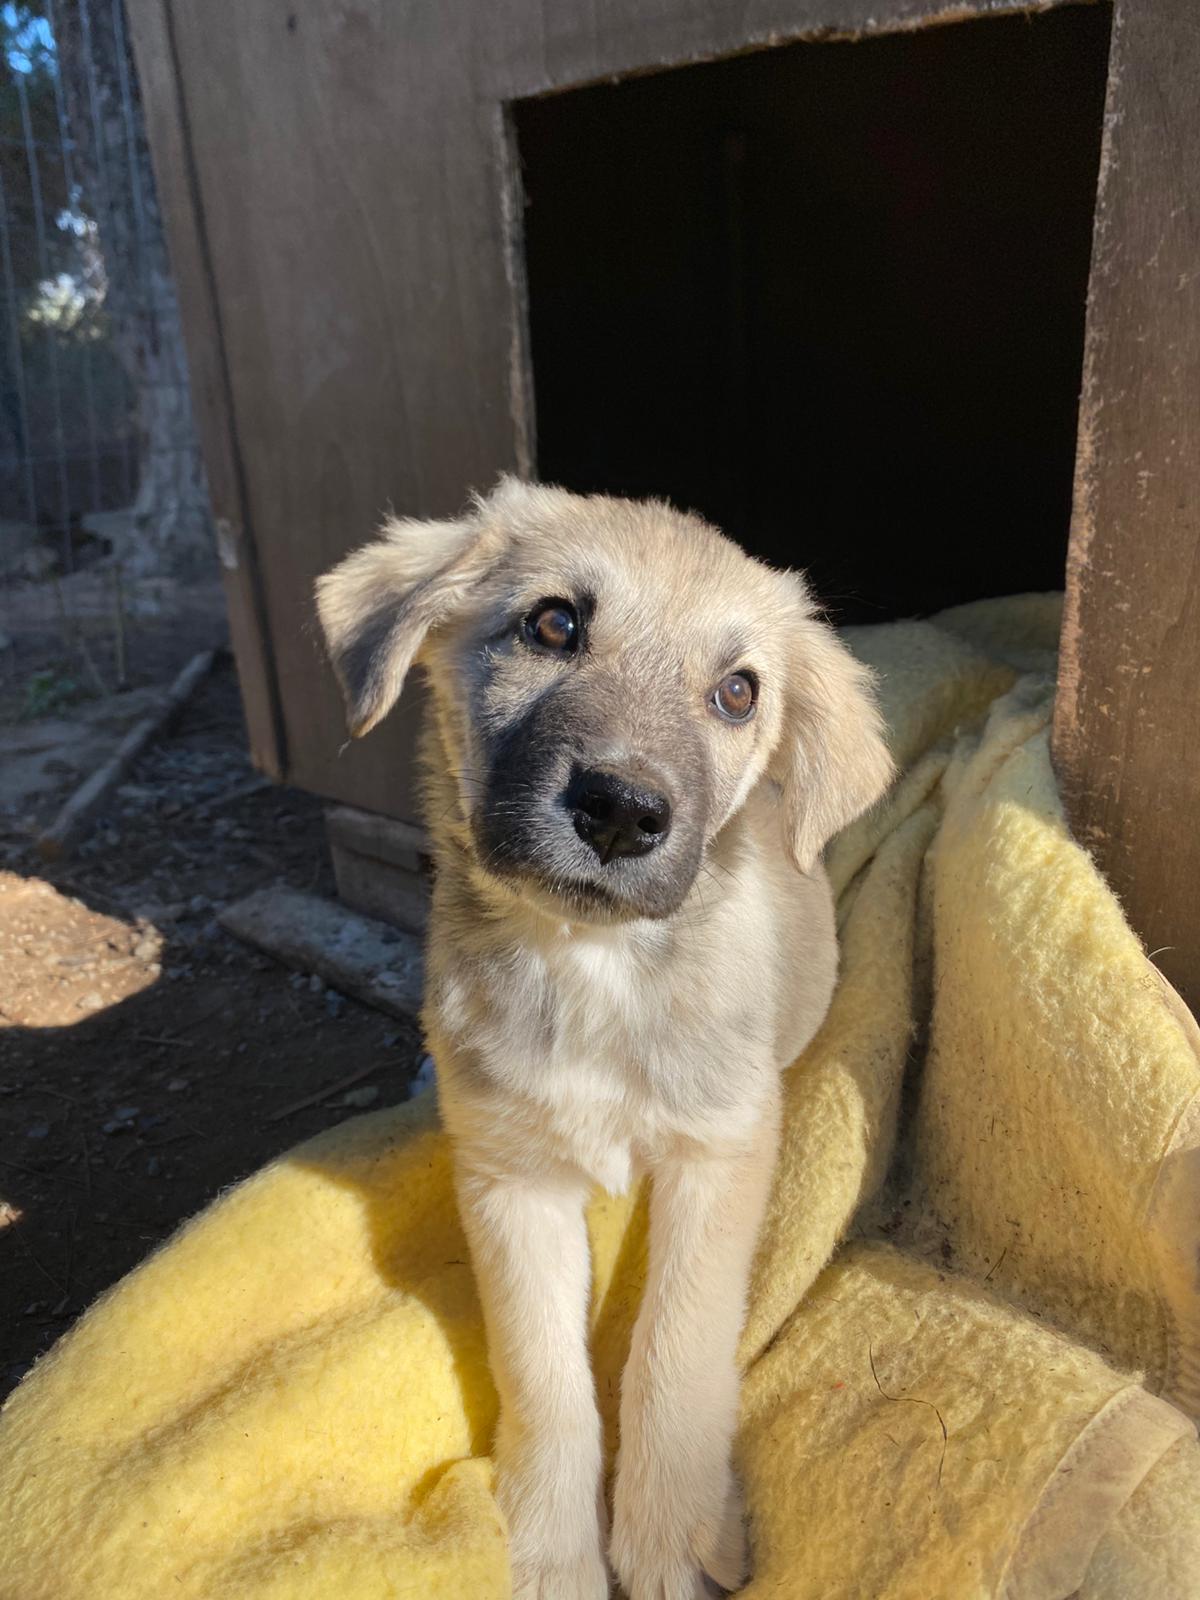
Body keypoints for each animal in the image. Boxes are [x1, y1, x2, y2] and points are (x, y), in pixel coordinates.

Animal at [316, 479, 893, 1600]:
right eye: (554, 624)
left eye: (738, 692)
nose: (622, 813)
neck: (593, 967)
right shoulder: (509, 1179)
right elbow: (544, 1377)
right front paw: (552, 1550)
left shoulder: (719, 1154)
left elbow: (674, 1349)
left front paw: (668, 1537)